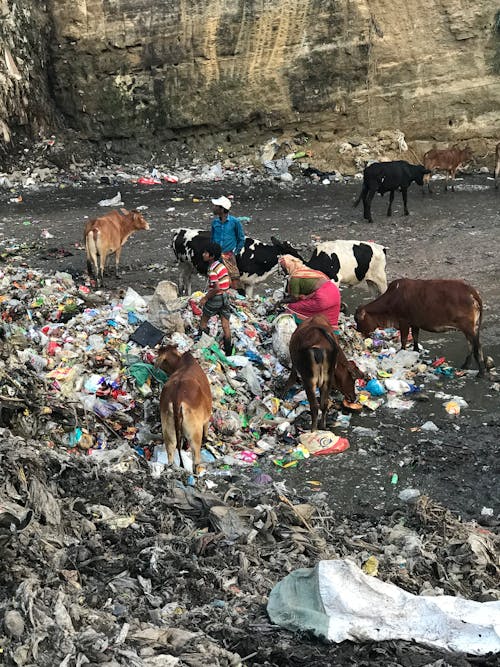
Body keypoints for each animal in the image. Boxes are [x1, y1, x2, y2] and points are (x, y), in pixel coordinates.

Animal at [155, 344, 212, 474]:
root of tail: (177, 397)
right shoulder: (206, 418)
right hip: (194, 432)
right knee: (195, 459)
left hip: (168, 428)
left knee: (171, 451)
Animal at [172, 228, 300, 296]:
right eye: (292, 255)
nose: (303, 263)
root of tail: (180, 231)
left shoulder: (250, 282)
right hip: (183, 263)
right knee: (182, 278)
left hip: (191, 266)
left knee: (187, 278)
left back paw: (188, 294)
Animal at [354, 278, 486, 376]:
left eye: (358, 320)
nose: (359, 332)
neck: (392, 299)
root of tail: (471, 290)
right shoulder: (414, 323)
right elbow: (415, 337)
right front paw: (416, 351)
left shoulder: (403, 321)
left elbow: (403, 339)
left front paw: (402, 352)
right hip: (469, 328)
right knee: (470, 344)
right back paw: (466, 365)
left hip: (468, 327)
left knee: (477, 345)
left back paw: (481, 372)